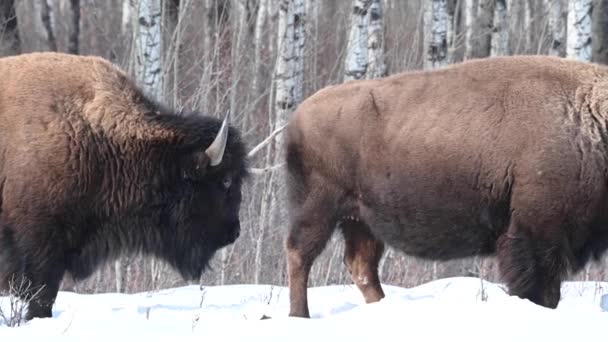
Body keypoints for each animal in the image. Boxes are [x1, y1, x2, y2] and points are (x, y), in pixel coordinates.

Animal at [286, 54, 608, 316]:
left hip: (361, 221)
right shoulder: (539, 233)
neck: (590, 121)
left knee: (361, 265)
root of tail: (298, 115)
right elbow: (540, 291)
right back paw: (299, 315)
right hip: (318, 209)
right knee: (300, 255)